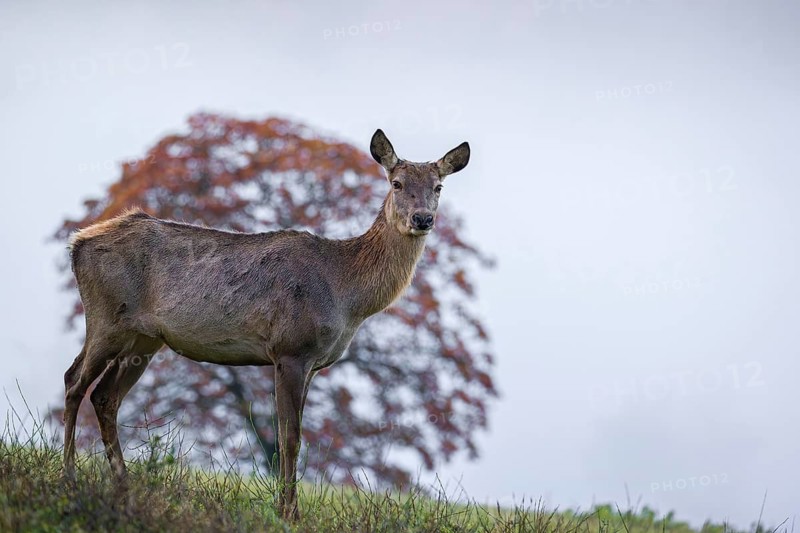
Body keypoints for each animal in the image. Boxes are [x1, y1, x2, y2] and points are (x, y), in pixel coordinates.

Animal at [62, 129, 470, 520]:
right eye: (396, 183)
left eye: (438, 186)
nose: (422, 219)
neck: (346, 294)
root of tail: (77, 243)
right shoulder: (291, 348)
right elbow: (289, 437)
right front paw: (289, 513)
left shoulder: (313, 363)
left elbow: (291, 435)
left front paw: (286, 508)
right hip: (106, 316)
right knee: (74, 381)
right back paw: (69, 478)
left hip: (143, 338)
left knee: (105, 396)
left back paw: (123, 488)